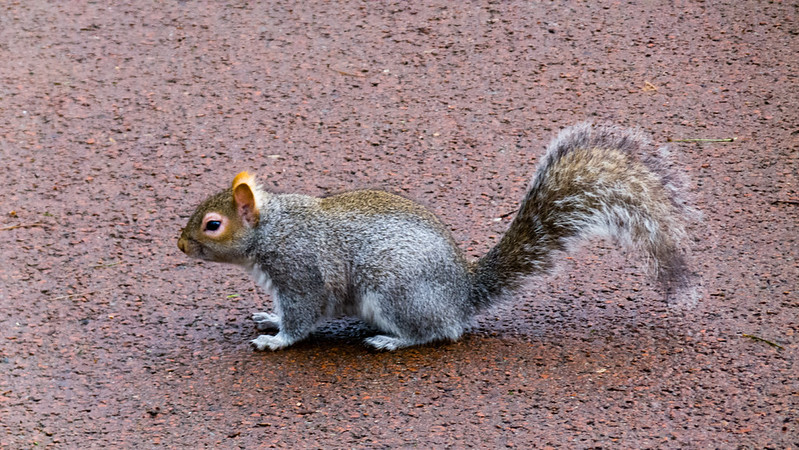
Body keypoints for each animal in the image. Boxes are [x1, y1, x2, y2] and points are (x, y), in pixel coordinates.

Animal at [178, 123, 694, 351]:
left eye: (212, 224)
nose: (180, 245)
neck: (271, 230)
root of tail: (462, 293)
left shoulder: (302, 273)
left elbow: (302, 317)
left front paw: (276, 340)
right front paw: (269, 318)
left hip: (395, 292)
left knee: (439, 332)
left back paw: (392, 341)